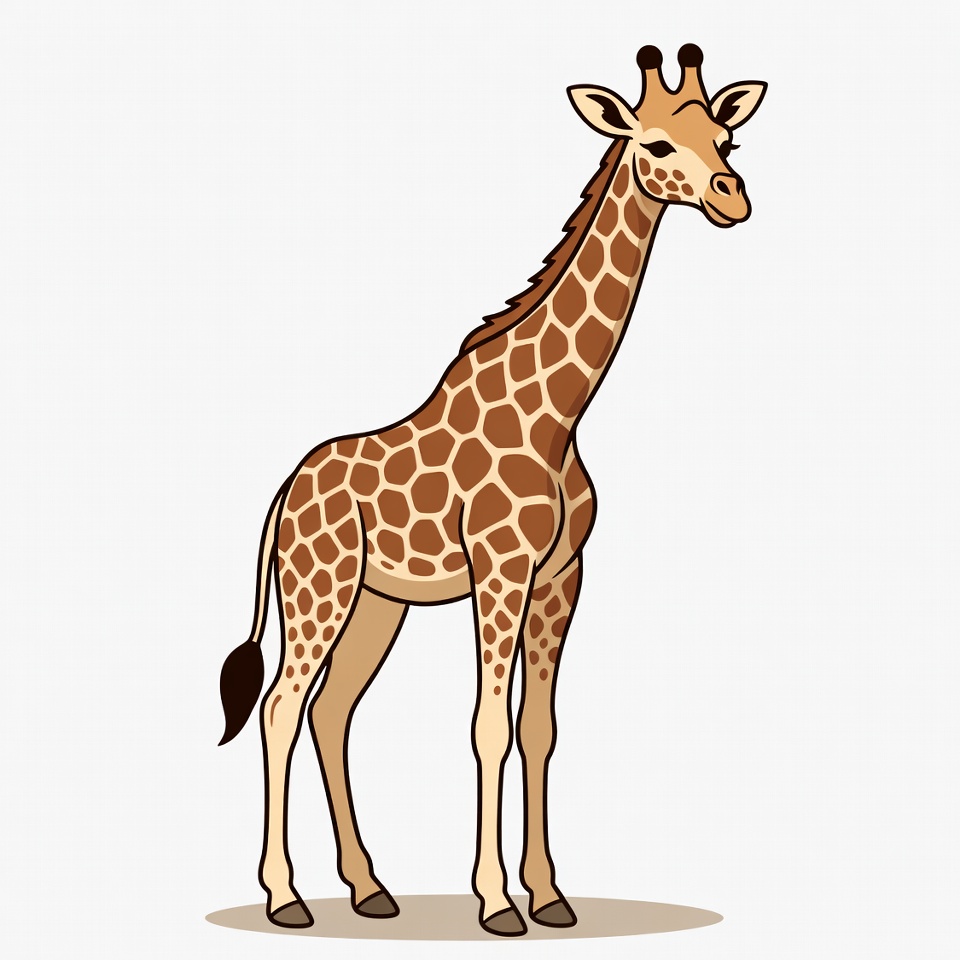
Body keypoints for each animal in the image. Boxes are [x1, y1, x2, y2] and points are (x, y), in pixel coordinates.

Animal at [218, 43, 766, 937]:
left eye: (729, 140)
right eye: (654, 145)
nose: (732, 197)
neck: (561, 412)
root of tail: (284, 494)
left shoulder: (561, 577)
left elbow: (538, 729)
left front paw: (550, 896)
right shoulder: (501, 571)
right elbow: (487, 728)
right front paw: (497, 902)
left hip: (378, 602)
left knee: (332, 711)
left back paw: (370, 889)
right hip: (318, 589)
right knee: (280, 708)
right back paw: (286, 896)